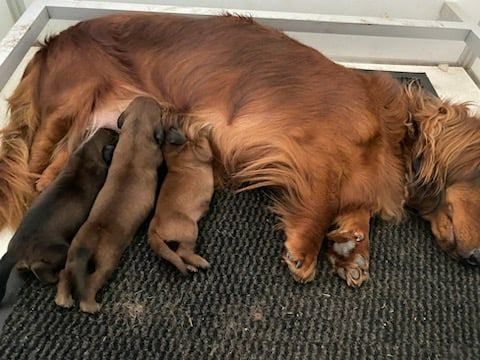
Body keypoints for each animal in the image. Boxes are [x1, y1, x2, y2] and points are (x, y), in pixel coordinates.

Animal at [0, 128, 118, 302]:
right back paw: (53, 277)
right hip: (60, 250)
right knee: (38, 266)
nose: (115, 129)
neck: (87, 152)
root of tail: (15, 251)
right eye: (114, 135)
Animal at [55, 97, 165, 314]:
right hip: (107, 262)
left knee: (65, 273)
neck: (136, 134)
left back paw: (63, 300)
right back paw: (91, 305)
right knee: (91, 284)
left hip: (72, 254)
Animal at [147, 123, 213, 272]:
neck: (172, 152)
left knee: (177, 254)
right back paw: (199, 262)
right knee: (182, 252)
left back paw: (189, 266)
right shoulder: (201, 152)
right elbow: (202, 143)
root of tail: (154, 223)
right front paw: (204, 129)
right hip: (190, 228)